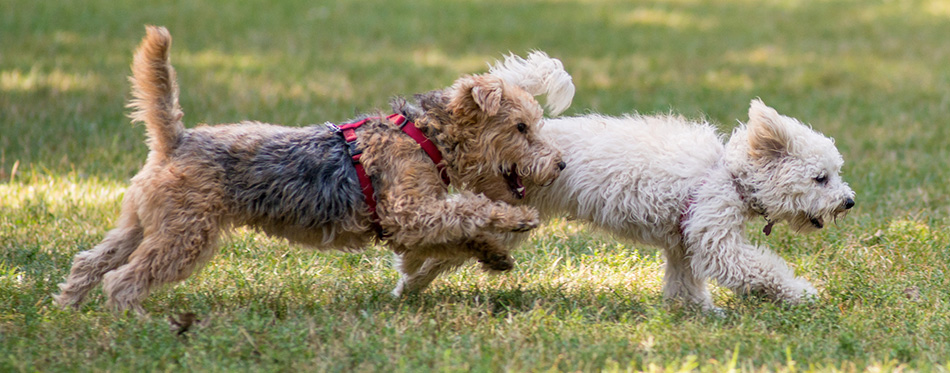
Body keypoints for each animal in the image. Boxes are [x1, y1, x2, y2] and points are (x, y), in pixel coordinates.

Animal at [392, 50, 856, 310]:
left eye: (835, 174)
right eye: (821, 178)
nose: (849, 201)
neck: (729, 175)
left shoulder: (684, 241)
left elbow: (685, 282)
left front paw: (695, 311)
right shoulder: (716, 240)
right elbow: (761, 270)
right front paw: (802, 294)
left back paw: (409, 284)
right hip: (508, 218)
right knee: (441, 242)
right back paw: (410, 277)